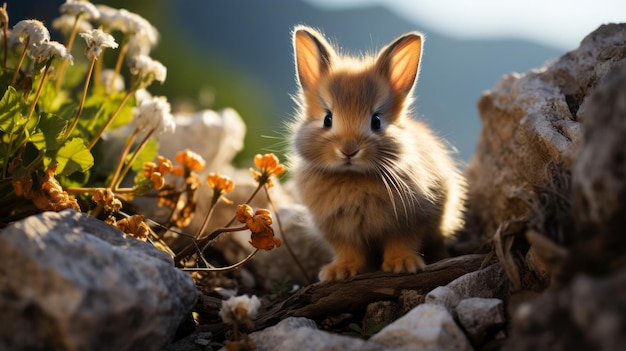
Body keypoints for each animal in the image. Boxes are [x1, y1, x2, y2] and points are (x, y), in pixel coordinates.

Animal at [288, 25, 464, 284]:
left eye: (376, 121)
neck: (353, 177)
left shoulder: (409, 221)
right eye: (327, 119)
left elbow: (402, 242)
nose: (349, 150)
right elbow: (348, 250)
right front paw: (339, 271)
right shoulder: (339, 231)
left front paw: (402, 265)